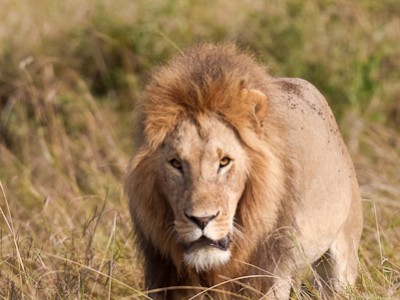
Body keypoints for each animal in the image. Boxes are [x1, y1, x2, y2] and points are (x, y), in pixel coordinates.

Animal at [125, 42, 362, 300]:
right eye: (176, 163)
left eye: (224, 162)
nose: (202, 219)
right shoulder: (168, 280)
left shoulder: (269, 277)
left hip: (342, 257)